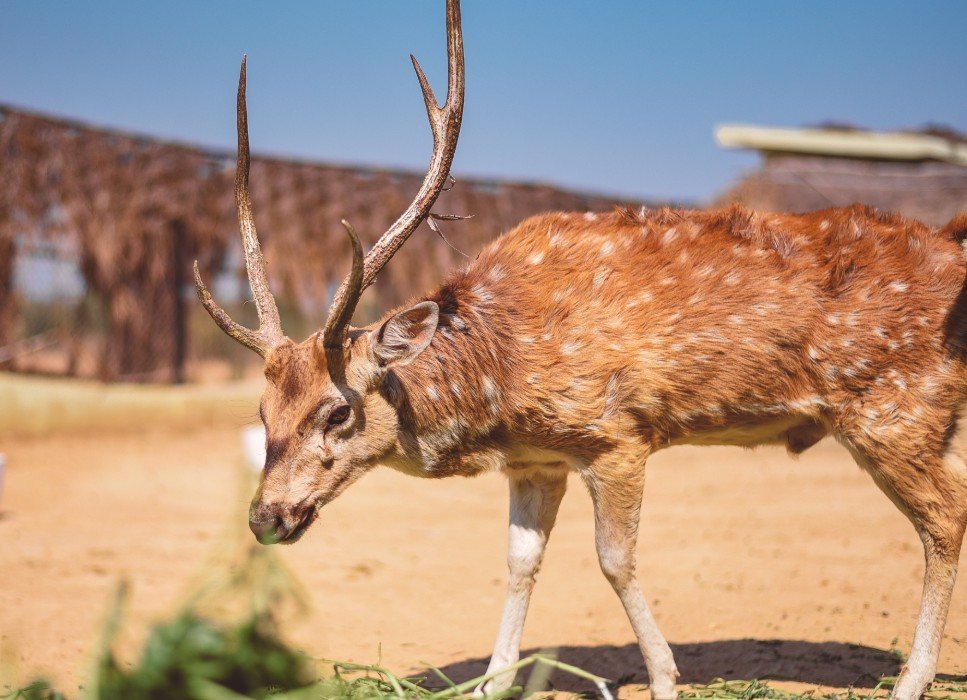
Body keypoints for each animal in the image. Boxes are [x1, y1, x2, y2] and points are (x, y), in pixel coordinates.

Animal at [193, 1, 967, 697]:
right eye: (261, 413)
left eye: (337, 411)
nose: (265, 517)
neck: (500, 387)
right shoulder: (536, 462)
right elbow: (518, 563)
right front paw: (496, 680)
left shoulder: (616, 433)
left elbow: (613, 561)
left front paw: (664, 678)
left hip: (896, 409)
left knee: (944, 517)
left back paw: (909, 682)